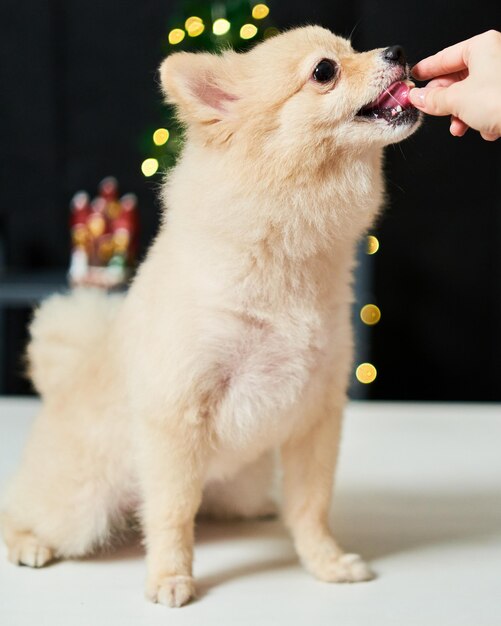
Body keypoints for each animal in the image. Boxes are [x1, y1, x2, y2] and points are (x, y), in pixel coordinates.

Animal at [1, 25, 420, 604]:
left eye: (353, 48)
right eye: (324, 71)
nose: (398, 52)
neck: (287, 259)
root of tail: (58, 385)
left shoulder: (316, 412)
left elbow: (311, 505)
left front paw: (325, 563)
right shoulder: (178, 416)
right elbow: (173, 512)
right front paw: (171, 576)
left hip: (242, 477)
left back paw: (261, 508)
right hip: (78, 506)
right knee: (21, 511)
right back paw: (28, 542)